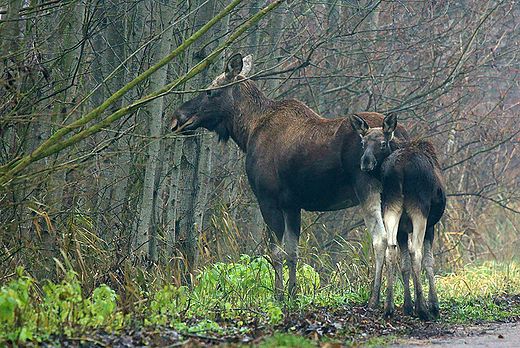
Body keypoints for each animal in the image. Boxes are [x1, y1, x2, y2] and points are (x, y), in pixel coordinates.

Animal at [173, 53, 408, 306]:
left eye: (209, 91)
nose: (178, 118)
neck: (246, 132)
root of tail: (400, 136)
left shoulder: (268, 199)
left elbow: (276, 253)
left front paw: (278, 296)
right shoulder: (292, 204)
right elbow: (293, 252)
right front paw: (293, 294)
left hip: (367, 188)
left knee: (381, 239)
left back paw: (376, 298)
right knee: (403, 240)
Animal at [352, 114, 444, 320]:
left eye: (382, 143)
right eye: (362, 143)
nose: (365, 162)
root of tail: (398, 170)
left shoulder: (403, 228)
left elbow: (404, 264)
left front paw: (408, 305)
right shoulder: (431, 225)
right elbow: (428, 262)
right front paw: (432, 305)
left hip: (391, 207)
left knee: (390, 247)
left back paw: (389, 306)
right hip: (419, 209)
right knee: (415, 252)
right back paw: (423, 310)